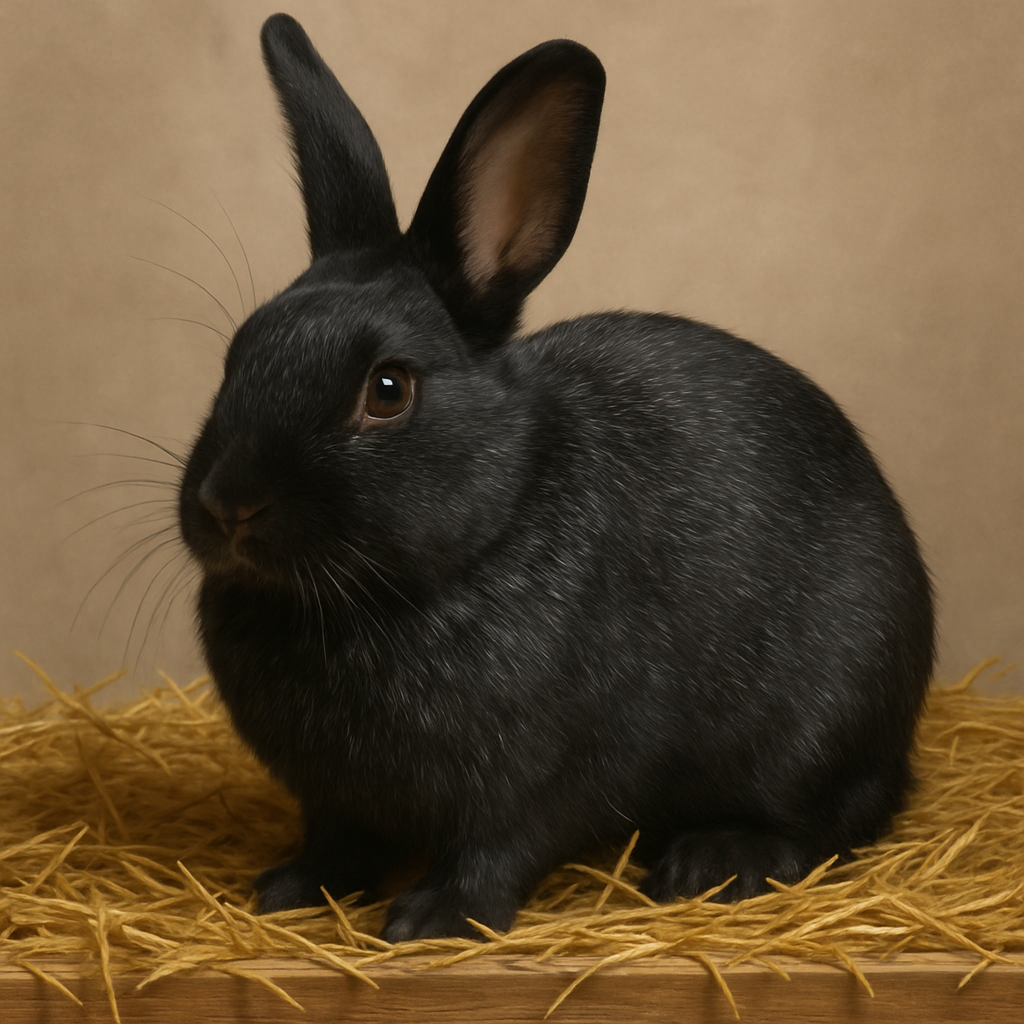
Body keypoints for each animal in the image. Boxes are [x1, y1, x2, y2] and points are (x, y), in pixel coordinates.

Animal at [177, 13, 934, 943]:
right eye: (237, 355)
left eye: (387, 390)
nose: (228, 505)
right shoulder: (337, 801)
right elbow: (340, 840)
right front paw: (291, 888)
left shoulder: (533, 778)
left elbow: (498, 846)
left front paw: (433, 919)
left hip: (826, 724)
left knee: (836, 820)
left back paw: (713, 860)